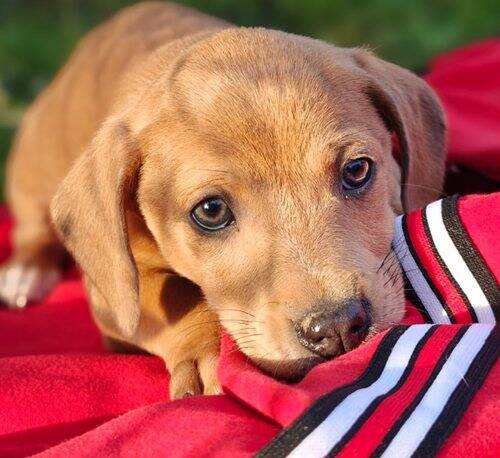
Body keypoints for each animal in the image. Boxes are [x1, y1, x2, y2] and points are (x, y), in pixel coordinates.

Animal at [0, 1, 445, 398]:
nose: (336, 326)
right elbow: (176, 298)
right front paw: (208, 354)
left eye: (356, 170)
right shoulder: (114, 295)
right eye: (211, 211)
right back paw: (25, 271)